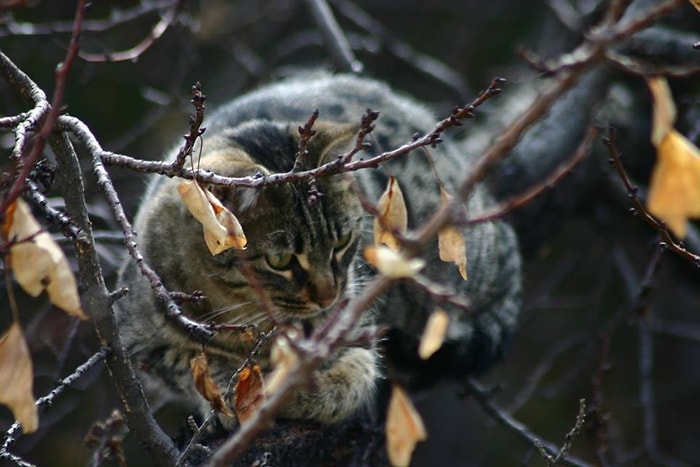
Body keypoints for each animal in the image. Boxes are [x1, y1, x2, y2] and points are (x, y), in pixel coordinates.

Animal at [115, 74, 520, 432]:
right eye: (279, 260)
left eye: (342, 242)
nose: (329, 296)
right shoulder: (139, 338)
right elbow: (189, 362)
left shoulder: (356, 328)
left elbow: (352, 375)